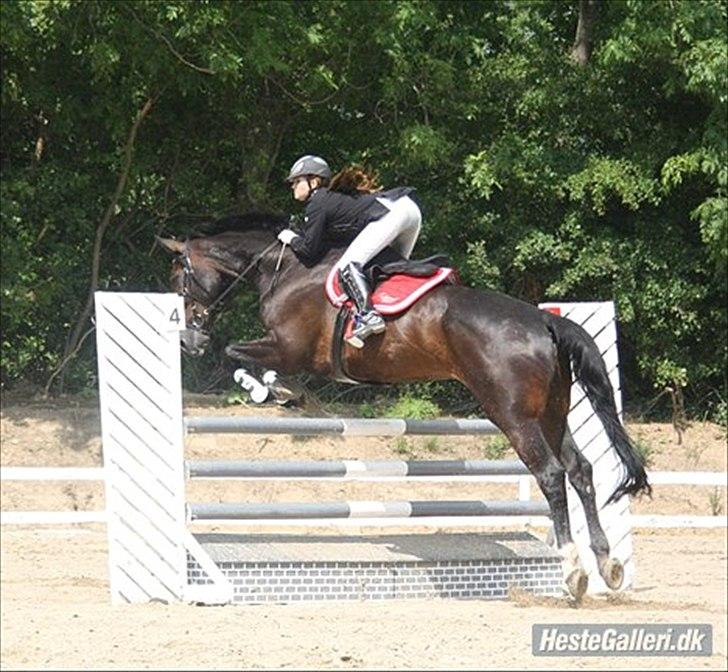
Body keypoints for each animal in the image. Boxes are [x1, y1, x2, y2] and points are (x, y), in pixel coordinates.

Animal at [158, 211, 648, 600]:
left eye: (179, 278)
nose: (188, 341)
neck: (286, 269)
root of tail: (544, 320)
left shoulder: (288, 349)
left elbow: (236, 355)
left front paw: (270, 390)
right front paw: (283, 391)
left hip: (513, 416)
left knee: (550, 473)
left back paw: (573, 567)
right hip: (551, 413)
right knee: (581, 470)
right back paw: (606, 562)